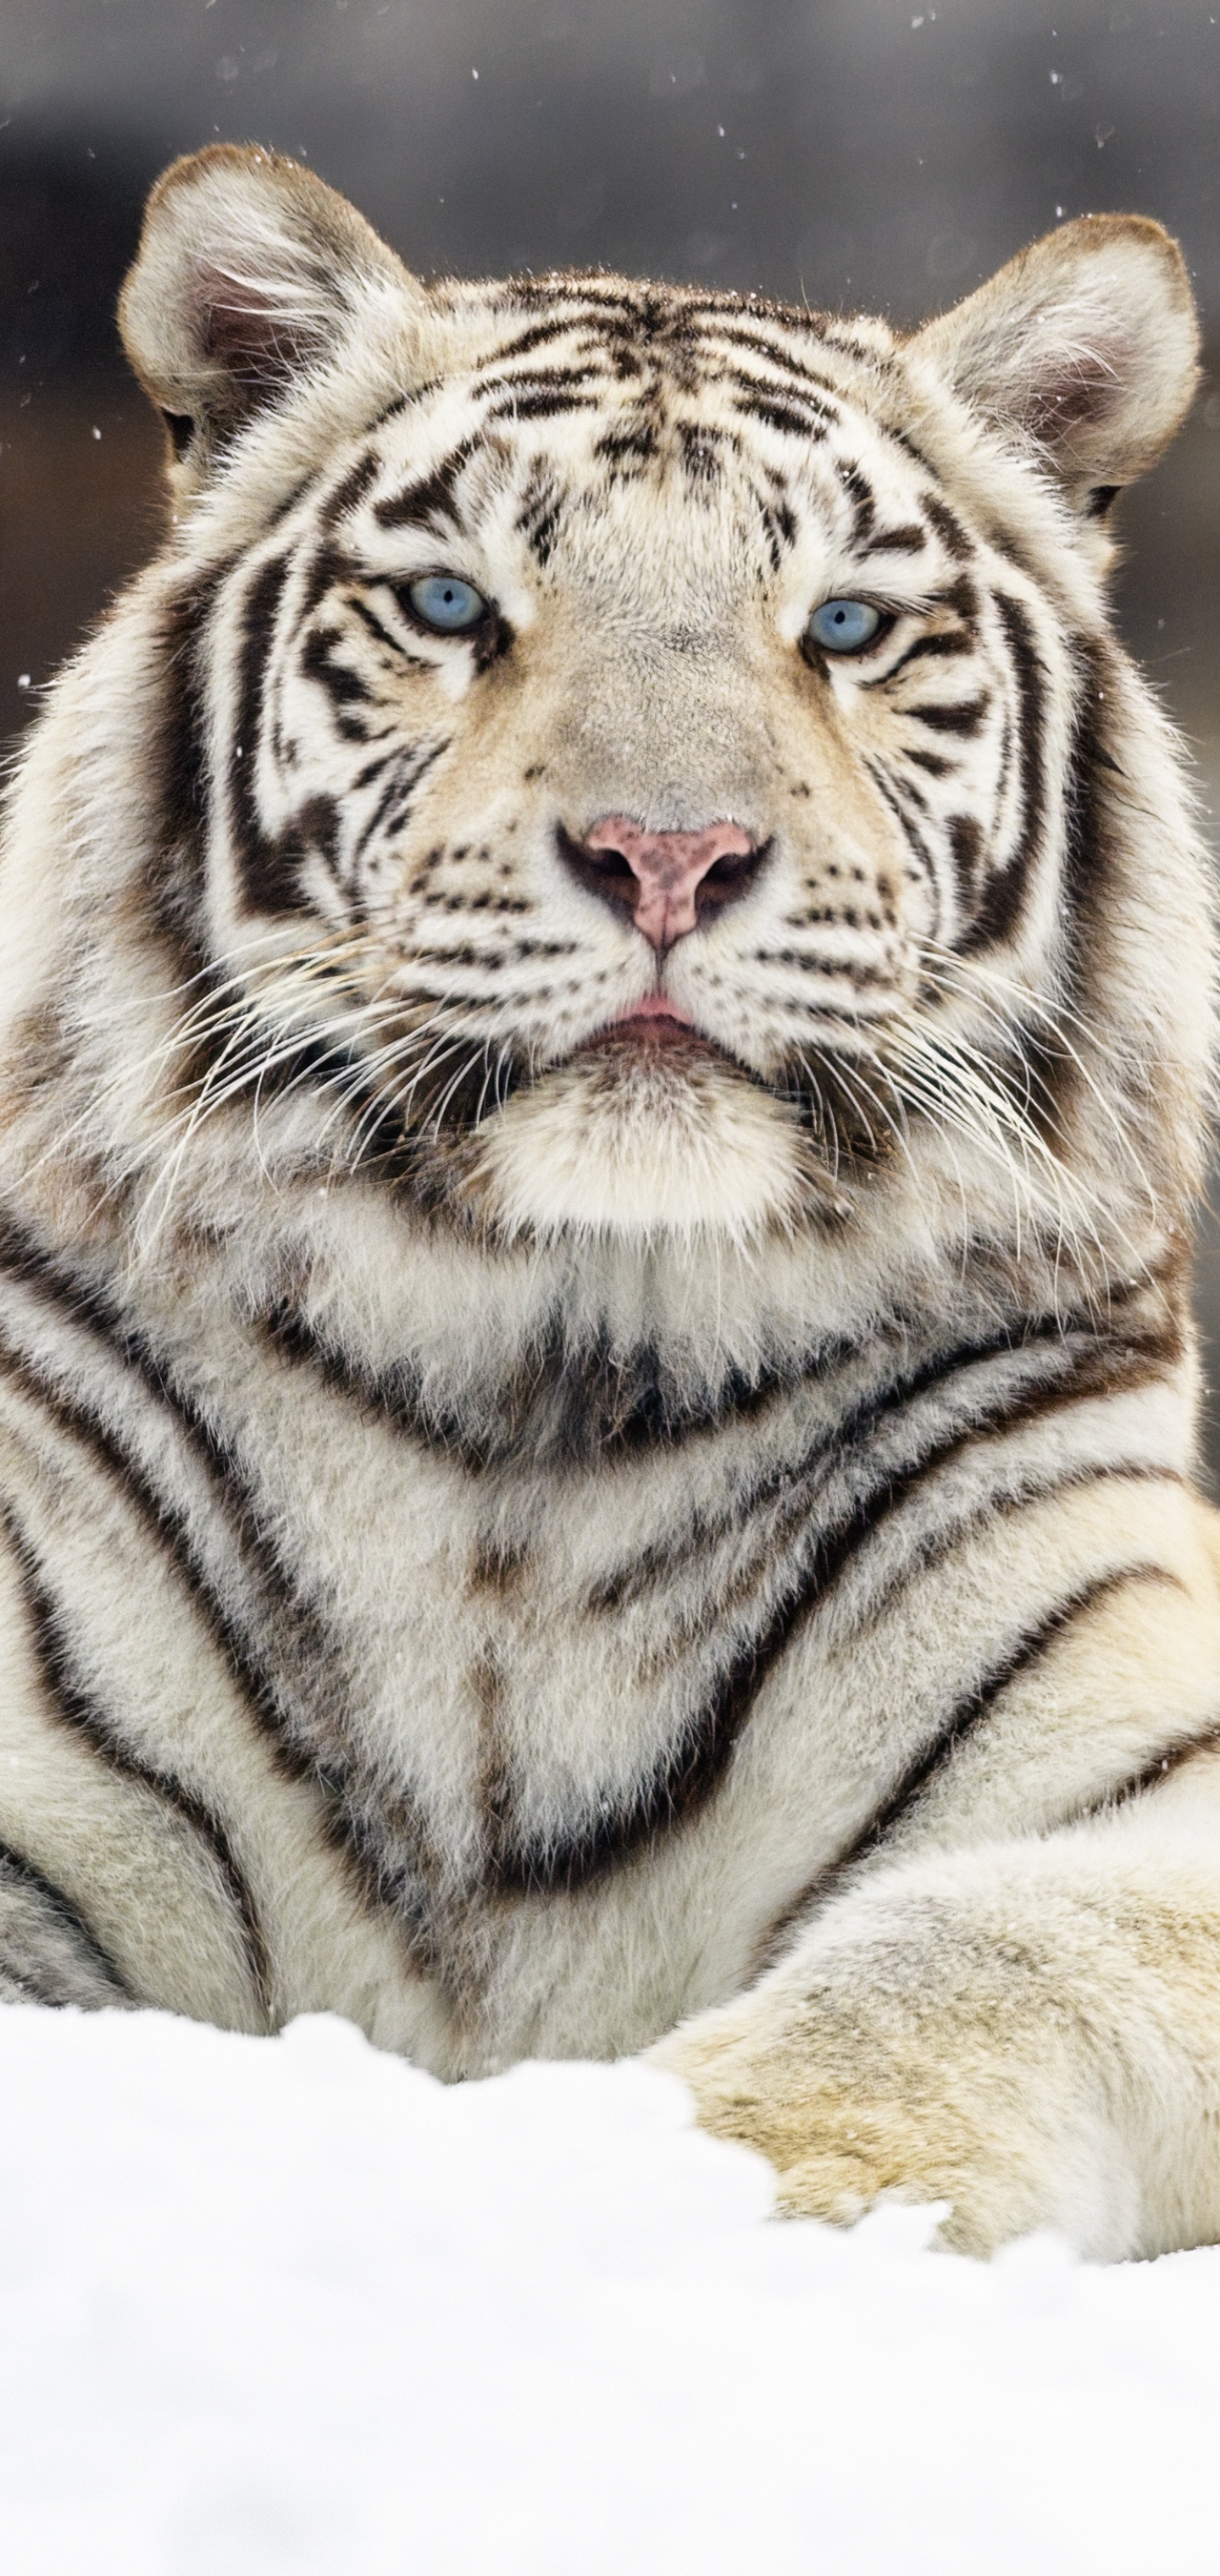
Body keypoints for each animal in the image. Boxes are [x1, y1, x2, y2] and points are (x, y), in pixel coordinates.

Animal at [2, 146, 1220, 2257]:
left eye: (846, 623)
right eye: (450, 602)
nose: (669, 852)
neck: (546, 1374)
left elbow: (963, 1957)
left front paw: (715, 2195)